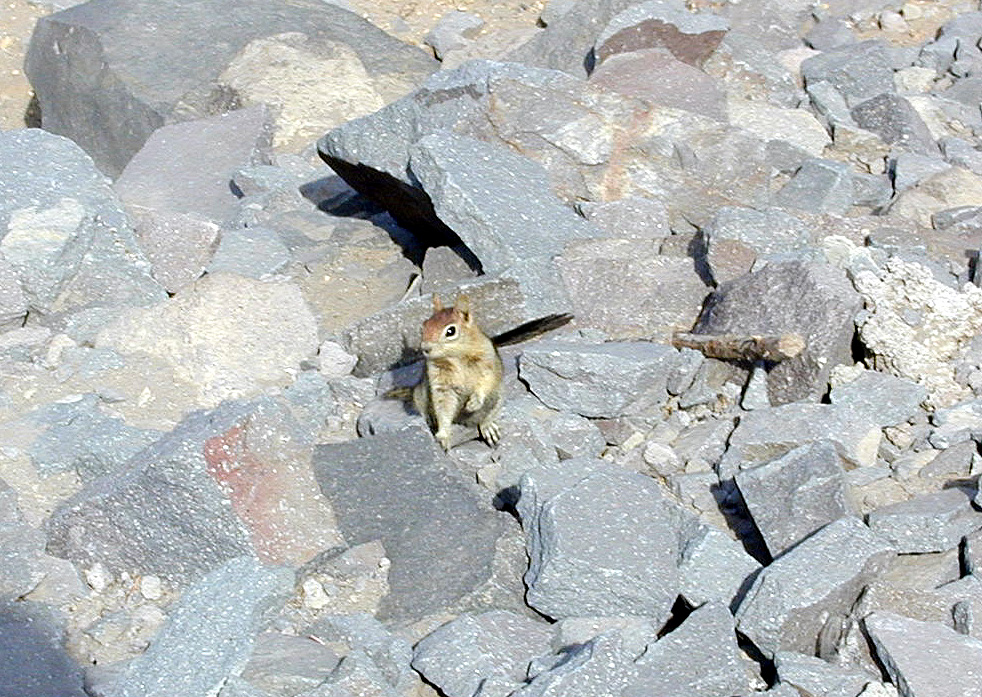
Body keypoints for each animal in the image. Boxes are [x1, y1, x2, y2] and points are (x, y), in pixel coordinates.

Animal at [396, 293, 571, 451]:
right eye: (424, 326)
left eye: (450, 331)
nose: (425, 348)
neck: (455, 357)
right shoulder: (440, 382)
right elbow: (444, 407)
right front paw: (443, 435)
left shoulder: (487, 363)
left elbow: (485, 382)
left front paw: (474, 401)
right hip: (420, 396)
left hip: (498, 398)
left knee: (486, 416)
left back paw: (488, 427)